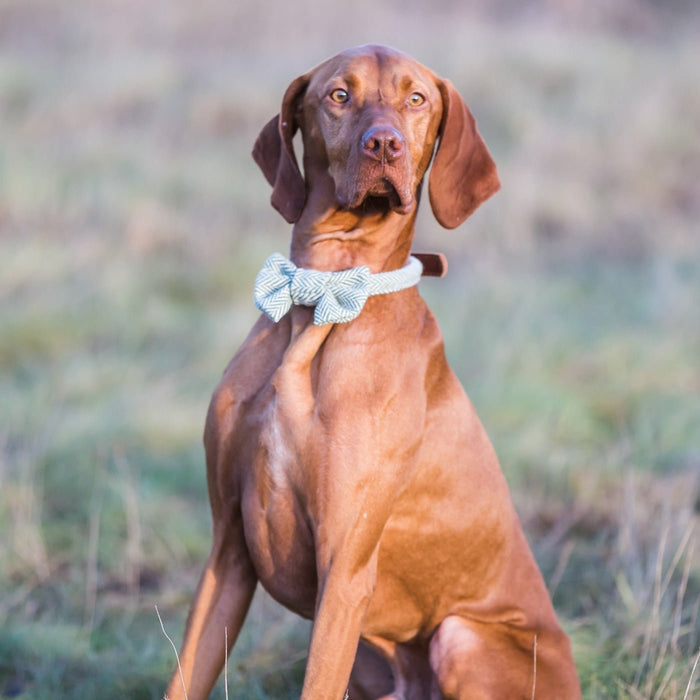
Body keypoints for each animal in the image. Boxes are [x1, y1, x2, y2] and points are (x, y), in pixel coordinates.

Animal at [165, 43, 580, 700]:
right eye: (339, 94)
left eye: (417, 99)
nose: (384, 144)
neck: (322, 293)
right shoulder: (227, 551)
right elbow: (183, 679)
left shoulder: (345, 570)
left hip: (461, 638)